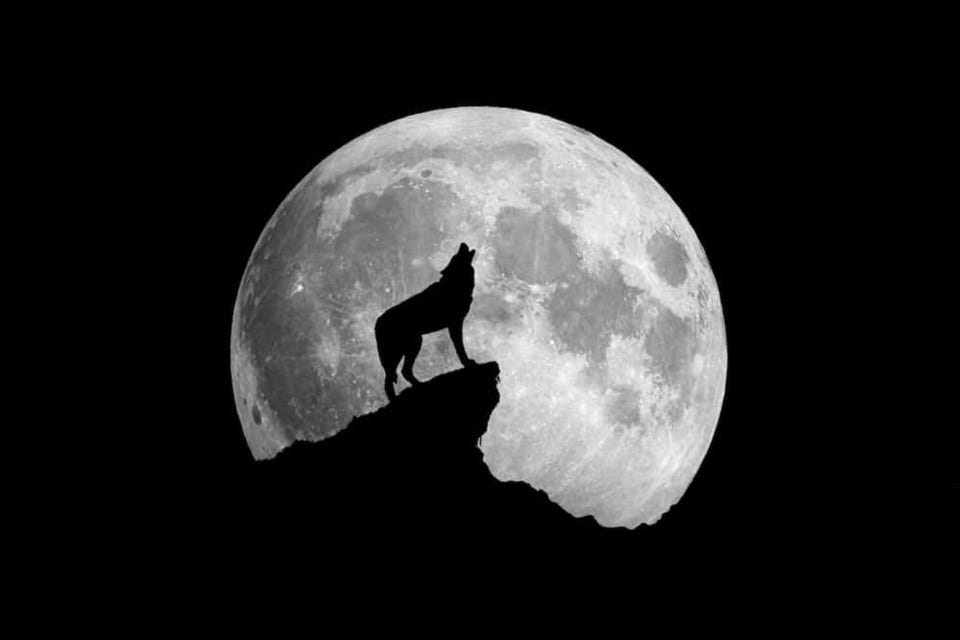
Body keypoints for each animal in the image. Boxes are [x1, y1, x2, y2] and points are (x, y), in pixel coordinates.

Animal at [375, 242, 478, 401]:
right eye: (456, 256)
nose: (462, 243)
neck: (454, 285)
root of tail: (377, 322)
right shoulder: (455, 324)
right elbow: (460, 349)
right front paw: (467, 363)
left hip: (411, 346)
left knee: (400, 374)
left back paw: (417, 386)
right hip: (406, 348)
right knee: (392, 378)